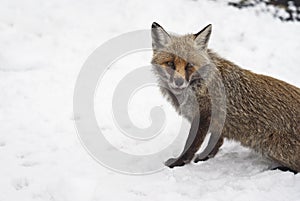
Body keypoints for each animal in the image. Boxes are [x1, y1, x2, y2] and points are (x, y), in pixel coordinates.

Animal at [151, 22, 300, 173]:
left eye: (189, 65)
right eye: (170, 63)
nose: (179, 82)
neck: (201, 85)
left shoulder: (204, 116)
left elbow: (190, 146)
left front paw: (177, 163)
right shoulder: (217, 121)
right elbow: (216, 141)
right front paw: (205, 157)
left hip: (273, 149)